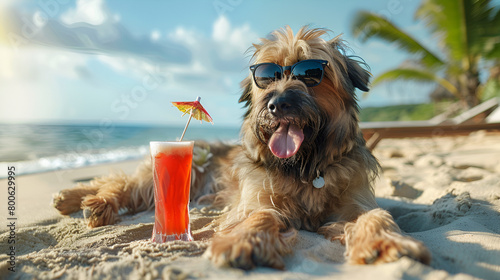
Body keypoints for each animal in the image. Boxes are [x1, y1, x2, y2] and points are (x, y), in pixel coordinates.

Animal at [52, 26, 432, 270]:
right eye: (265, 77)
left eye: (311, 74)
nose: (276, 105)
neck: (306, 167)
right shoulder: (256, 198)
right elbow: (259, 214)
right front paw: (244, 241)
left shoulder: (355, 201)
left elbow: (376, 215)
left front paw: (386, 242)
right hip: (165, 180)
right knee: (120, 184)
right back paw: (87, 201)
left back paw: (74, 199)